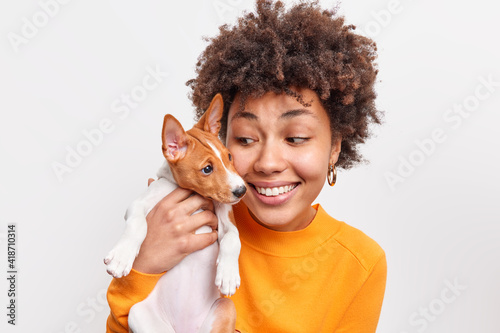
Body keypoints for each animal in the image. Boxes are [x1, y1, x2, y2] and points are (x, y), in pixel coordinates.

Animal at [104, 94, 246, 332]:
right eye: (207, 169)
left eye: (229, 157)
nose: (241, 191)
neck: (192, 194)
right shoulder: (139, 204)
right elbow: (137, 224)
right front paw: (122, 257)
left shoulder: (227, 221)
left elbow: (233, 240)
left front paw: (227, 273)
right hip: (139, 313)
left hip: (225, 307)